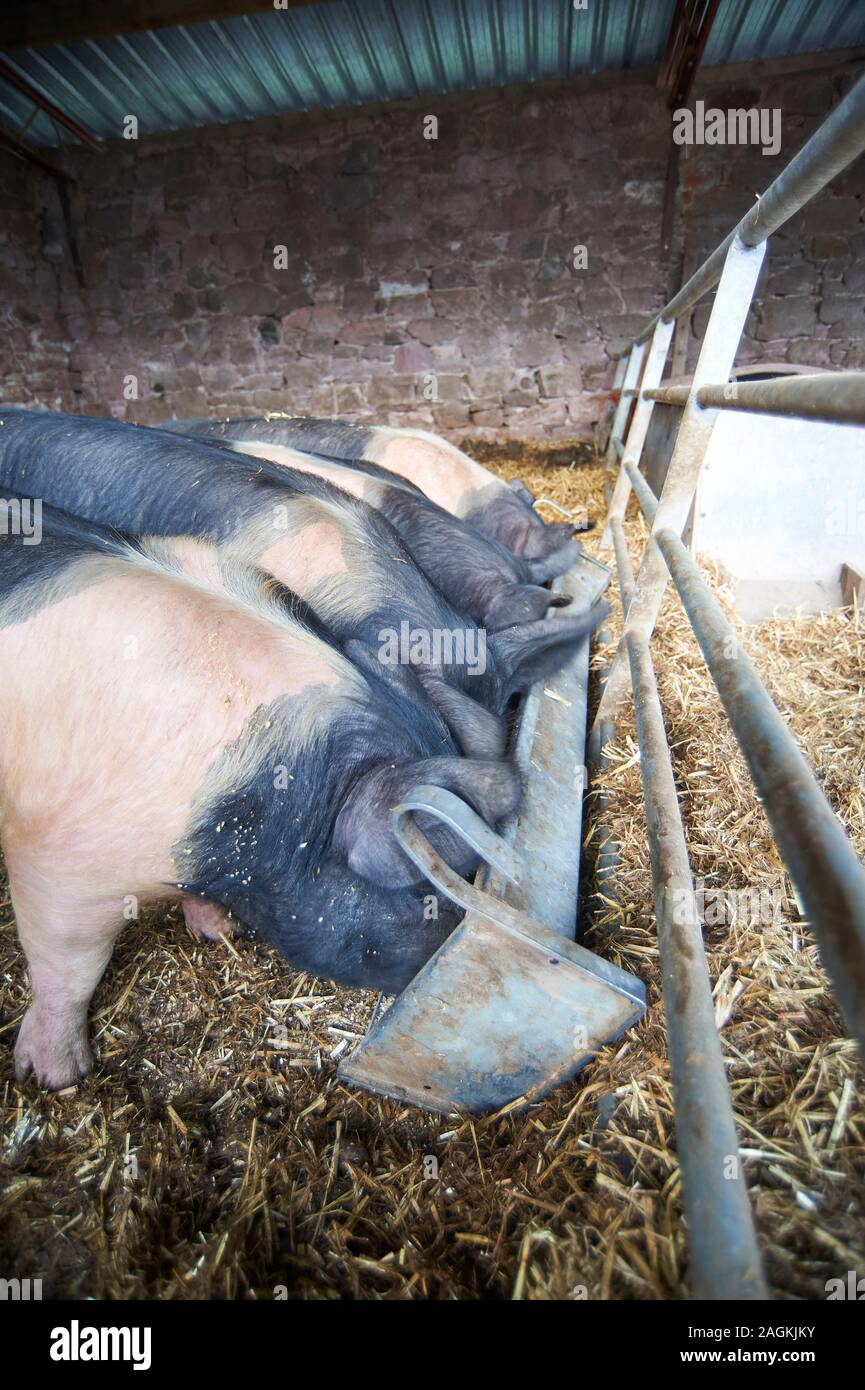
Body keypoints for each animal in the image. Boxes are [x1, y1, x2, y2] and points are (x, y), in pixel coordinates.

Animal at [1, 496, 523, 1089]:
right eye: (427, 890)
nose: (444, 973)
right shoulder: (54, 860)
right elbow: (68, 966)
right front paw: (55, 1076)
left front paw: (217, 930)